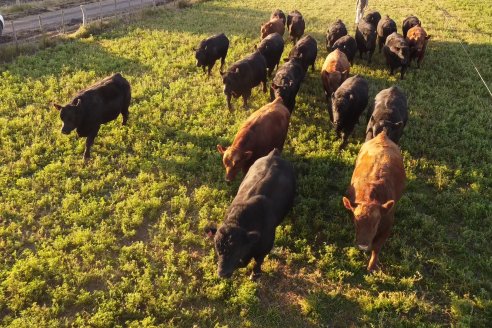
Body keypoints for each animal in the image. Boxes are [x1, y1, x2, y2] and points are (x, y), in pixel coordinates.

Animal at [205, 149, 294, 280]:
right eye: (217, 249)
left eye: (236, 250)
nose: (222, 273)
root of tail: (274, 154)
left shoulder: (265, 248)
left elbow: (258, 262)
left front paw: (255, 274)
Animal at [340, 131, 406, 272]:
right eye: (356, 221)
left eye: (376, 222)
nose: (363, 245)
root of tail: (382, 135)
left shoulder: (387, 225)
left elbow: (377, 247)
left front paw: (371, 267)